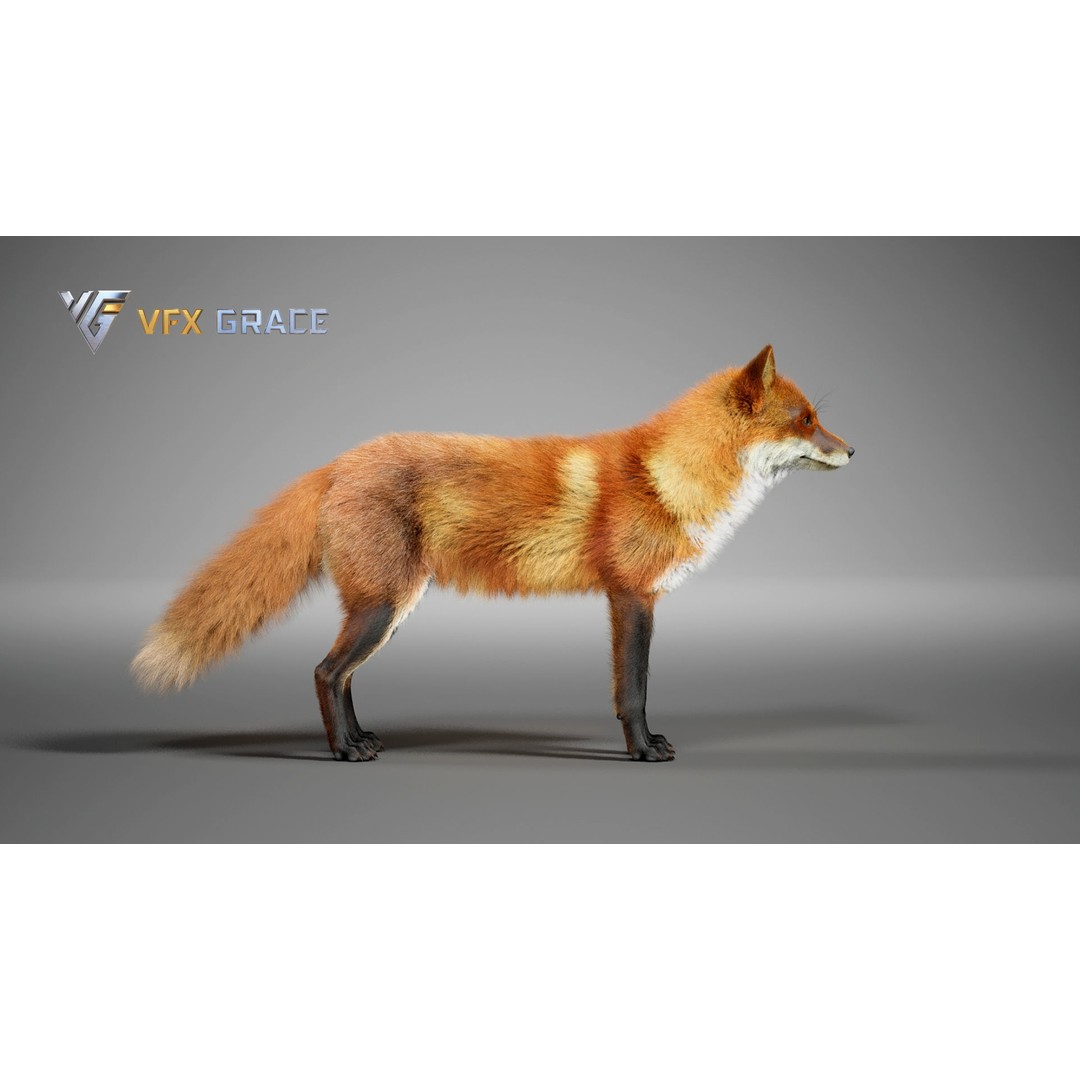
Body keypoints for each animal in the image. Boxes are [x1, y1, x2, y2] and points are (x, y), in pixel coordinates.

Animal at [132, 344, 853, 763]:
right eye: (805, 420)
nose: (854, 450)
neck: (668, 476)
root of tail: (341, 461)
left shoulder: (631, 598)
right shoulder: (631, 597)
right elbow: (634, 691)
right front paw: (643, 750)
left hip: (390, 609)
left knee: (340, 675)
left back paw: (361, 739)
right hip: (383, 606)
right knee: (324, 671)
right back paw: (343, 752)